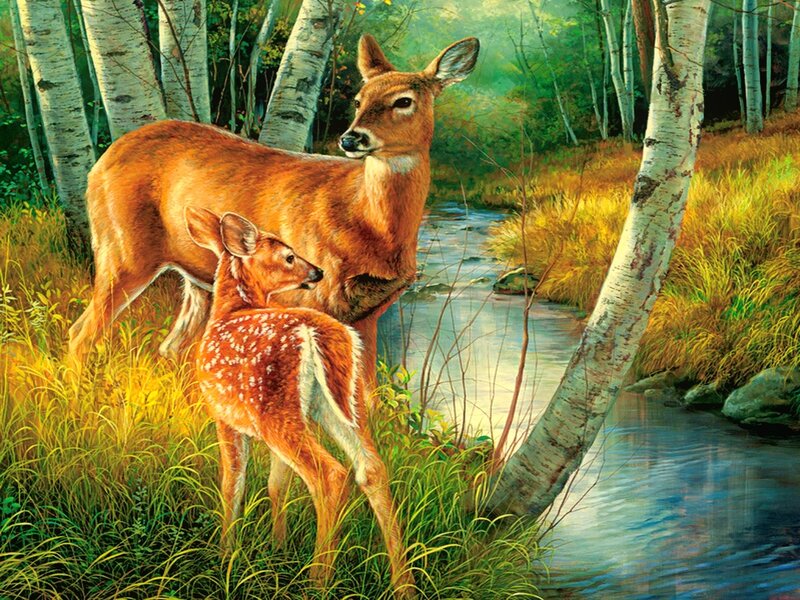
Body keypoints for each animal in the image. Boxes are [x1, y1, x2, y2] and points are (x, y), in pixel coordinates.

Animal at [65, 34, 480, 387]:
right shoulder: (306, 299)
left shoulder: (369, 312)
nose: (351, 138)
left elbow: (366, 395)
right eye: (359, 100)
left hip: (197, 280)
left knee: (170, 346)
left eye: (404, 101)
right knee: (81, 330)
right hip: (122, 250)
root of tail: (101, 162)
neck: (371, 224)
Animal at [186, 206, 415, 598]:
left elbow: (233, 483)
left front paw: (225, 554)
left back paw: (317, 580)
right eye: (288, 256)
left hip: (276, 411)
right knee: (370, 468)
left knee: (330, 475)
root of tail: (320, 332)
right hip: (341, 404)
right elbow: (275, 484)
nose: (317, 272)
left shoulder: (224, 415)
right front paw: (277, 546)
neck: (230, 310)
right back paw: (404, 584)